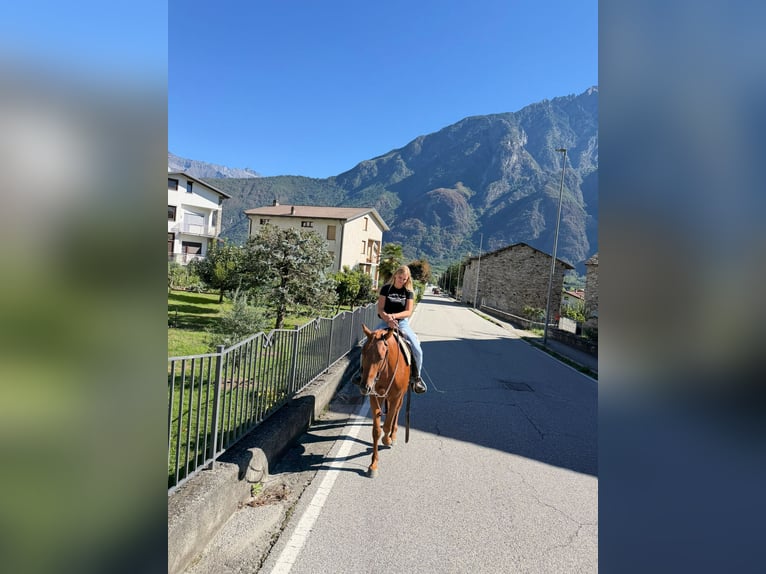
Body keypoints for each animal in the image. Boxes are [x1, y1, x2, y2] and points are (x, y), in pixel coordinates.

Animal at [359, 324, 412, 478]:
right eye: (363, 352)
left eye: (381, 356)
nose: (364, 386)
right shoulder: (374, 397)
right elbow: (376, 431)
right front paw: (373, 465)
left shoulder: (396, 396)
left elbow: (388, 424)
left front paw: (387, 439)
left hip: (401, 396)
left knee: (396, 412)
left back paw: (392, 436)